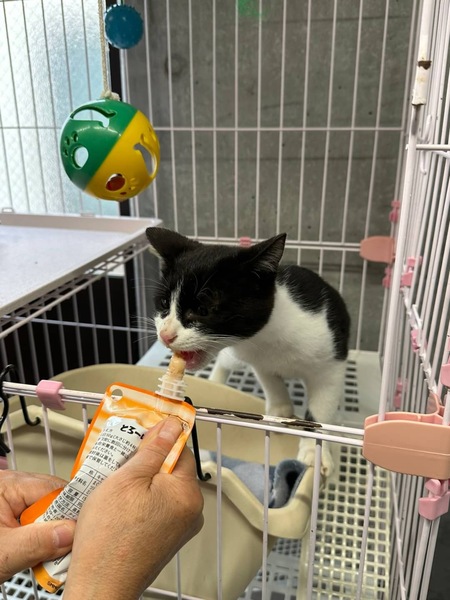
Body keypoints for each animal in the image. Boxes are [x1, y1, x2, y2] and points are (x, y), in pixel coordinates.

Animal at [146, 227, 351, 475]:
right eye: (164, 304)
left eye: (203, 310)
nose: (165, 334)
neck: (265, 338)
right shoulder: (255, 358)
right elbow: (270, 380)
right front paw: (280, 409)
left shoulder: (330, 364)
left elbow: (320, 409)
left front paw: (314, 451)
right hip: (235, 357)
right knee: (226, 362)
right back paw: (216, 380)